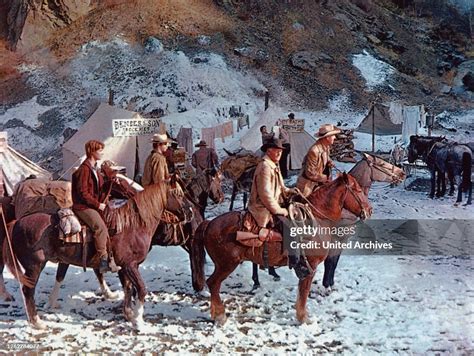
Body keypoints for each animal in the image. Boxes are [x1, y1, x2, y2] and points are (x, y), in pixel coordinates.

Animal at [2, 184, 191, 330]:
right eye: (178, 193)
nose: (189, 211)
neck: (132, 225)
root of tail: (17, 222)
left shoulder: (126, 267)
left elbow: (128, 288)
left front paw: (129, 314)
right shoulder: (130, 265)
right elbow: (141, 289)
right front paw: (138, 320)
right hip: (34, 266)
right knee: (28, 291)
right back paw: (37, 322)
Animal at [192, 172, 370, 326]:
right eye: (358, 190)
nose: (369, 210)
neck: (318, 220)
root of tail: (209, 223)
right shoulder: (310, 267)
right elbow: (304, 292)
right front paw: (303, 318)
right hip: (226, 264)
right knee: (213, 283)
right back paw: (220, 316)